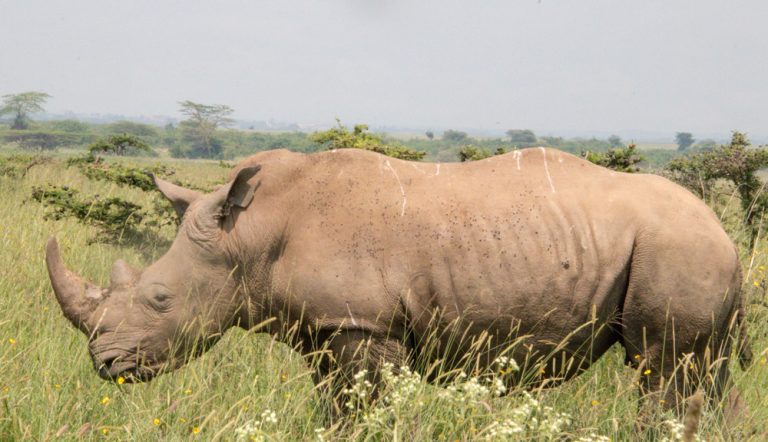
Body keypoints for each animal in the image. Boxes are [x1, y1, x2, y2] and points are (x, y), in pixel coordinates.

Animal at [46, 147, 751, 418]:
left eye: (159, 299)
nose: (105, 365)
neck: (251, 235)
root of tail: (723, 232)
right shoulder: (326, 327)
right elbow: (335, 408)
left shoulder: (363, 324)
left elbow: (362, 407)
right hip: (686, 250)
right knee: (700, 374)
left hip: (677, 248)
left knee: (662, 368)